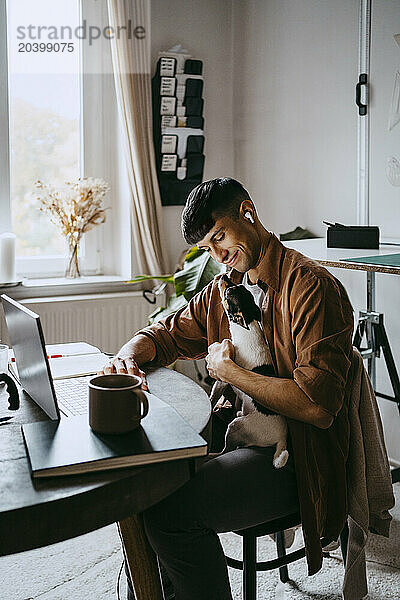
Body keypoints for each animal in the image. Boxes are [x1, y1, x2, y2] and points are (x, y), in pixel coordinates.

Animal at [209, 274, 288, 468]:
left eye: (229, 291)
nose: (224, 275)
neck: (248, 326)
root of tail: (282, 439)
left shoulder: (222, 378)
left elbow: (213, 396)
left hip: (237, 426)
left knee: (227, 449)